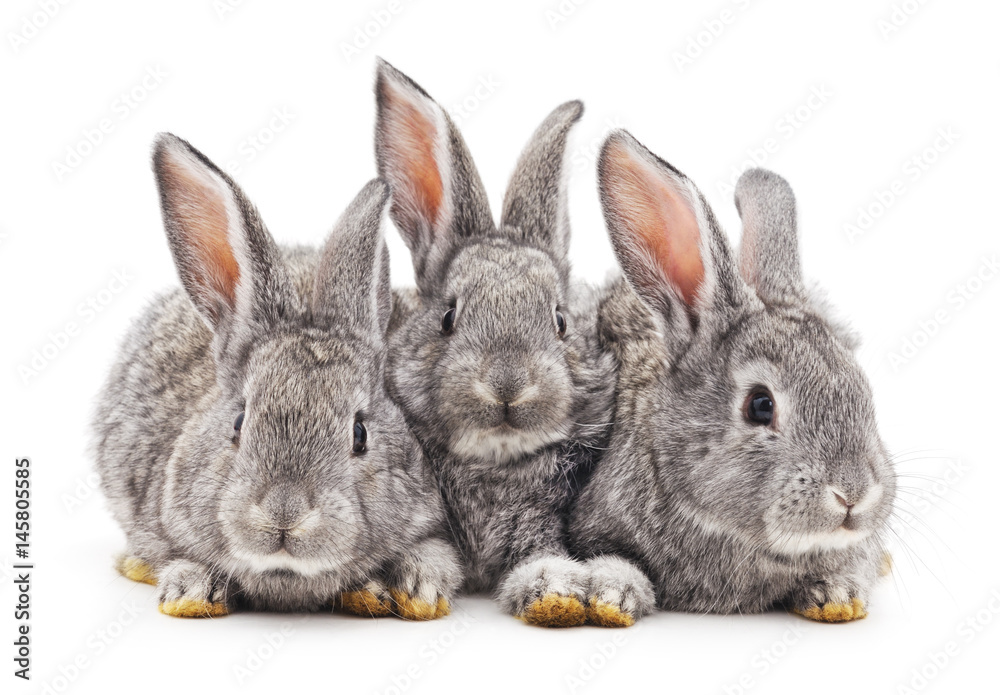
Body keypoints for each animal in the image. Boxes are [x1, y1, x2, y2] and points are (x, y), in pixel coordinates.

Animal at [372, 59, 616, 627]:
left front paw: (554, 593)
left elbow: (541, 554)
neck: (496, 462)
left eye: (560, 320)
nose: (507, 387)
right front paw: (418, 586)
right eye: (448, 316)